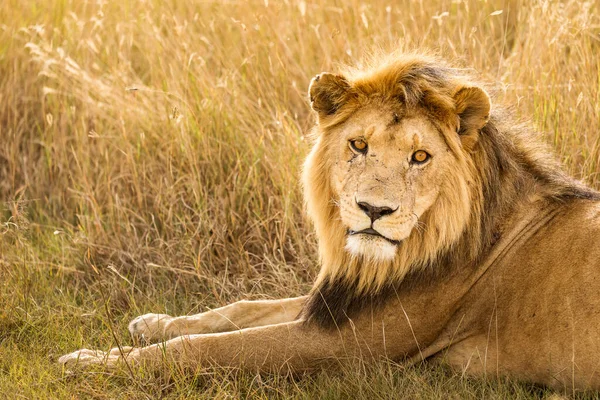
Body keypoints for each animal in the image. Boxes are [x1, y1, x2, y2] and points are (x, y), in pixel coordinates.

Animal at [58, 51, 600, 392]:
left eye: (420, 157)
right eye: (358, 145)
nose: (374, 210)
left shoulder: (342, 346)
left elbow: (203, 350)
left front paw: (92, 363)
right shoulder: (336, 302)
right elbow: (239, 309)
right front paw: (152, 323)